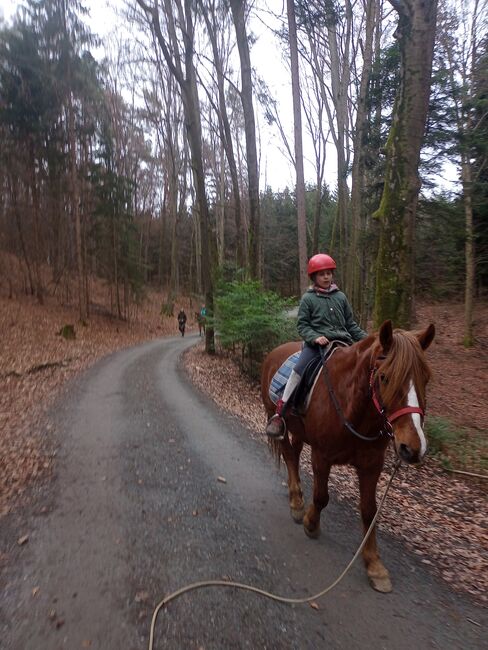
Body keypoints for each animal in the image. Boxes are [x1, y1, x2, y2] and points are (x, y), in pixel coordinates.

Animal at [262, 320, 436, 592]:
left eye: (425, 378)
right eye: (384, 377)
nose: (413, 447)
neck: (353, 407)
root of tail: (275, 352)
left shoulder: (371, 466)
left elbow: (369, 511)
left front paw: (374, 565)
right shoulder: (322, 456)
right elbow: (321, 497)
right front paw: (311, 523)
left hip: (299, 431)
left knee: (295, 454)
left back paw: (295, 494)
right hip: (276, 417)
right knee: (289, 455)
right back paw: (297, 504)